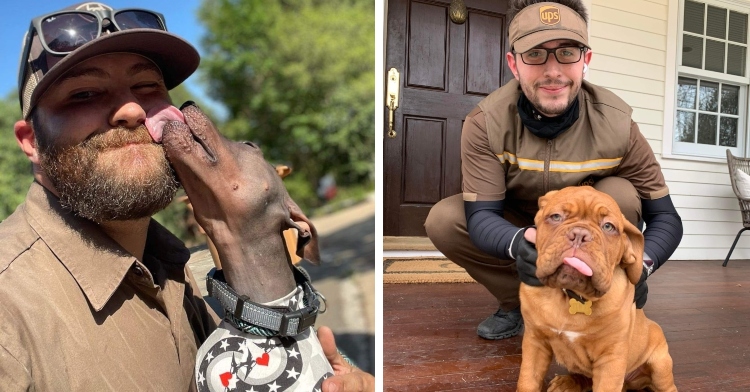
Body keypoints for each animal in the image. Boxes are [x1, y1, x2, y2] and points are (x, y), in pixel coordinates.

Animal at [520, 186, 680, 392]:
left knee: (666, 385)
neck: (572, 295)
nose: (580, 234)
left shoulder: (610, 358)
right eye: (556, 216)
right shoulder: (535, 342)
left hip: (660, 364)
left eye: (608, 227)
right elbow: (527, 381)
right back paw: (568, 383)